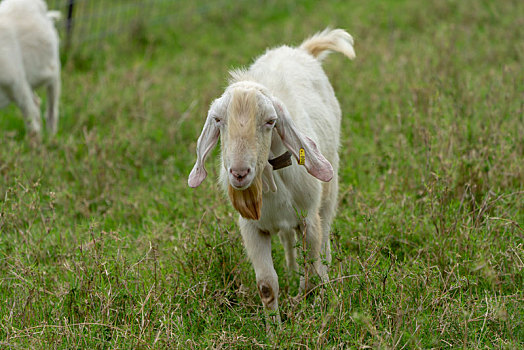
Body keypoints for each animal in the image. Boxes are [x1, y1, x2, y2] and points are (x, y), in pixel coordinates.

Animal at [0, 0, 61, 137]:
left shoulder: (17, 84)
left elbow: (32, 123)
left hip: (52, 68)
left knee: (51, 109)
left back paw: (51, 137)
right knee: (37, 104)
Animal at [188, 28, 356, 320]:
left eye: (270, 121)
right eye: (218, 120)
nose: (239, 173)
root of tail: (300, 50)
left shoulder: (308, 219)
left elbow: (312, 272)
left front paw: (311, 309)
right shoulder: (252, 228)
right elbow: (267, 285)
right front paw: (274, 326)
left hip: (328, 190)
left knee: (325, 237)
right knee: (289, 242)